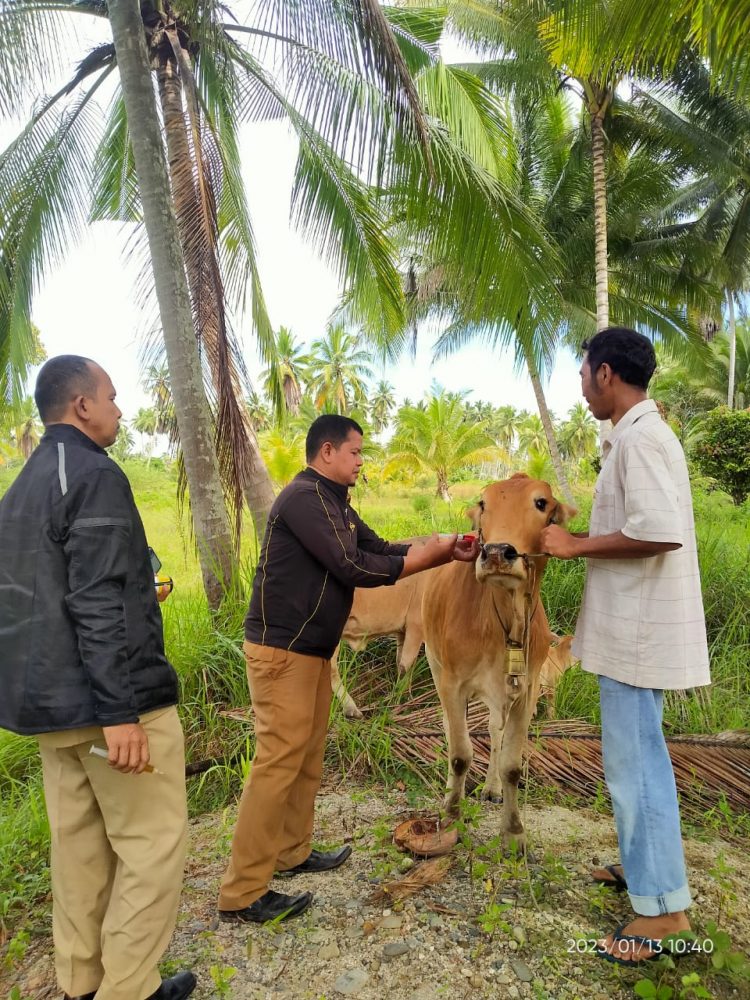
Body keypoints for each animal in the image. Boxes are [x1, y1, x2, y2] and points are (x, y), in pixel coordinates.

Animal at [424, 472, 576, 848]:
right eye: (483, 503)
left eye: (541, 502)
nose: (495, 553)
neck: (506, 620)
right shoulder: (453, 683)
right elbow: (460, 754)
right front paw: (451, 815)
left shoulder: (528, 691)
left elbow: (512, 764)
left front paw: (513, 831)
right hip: (435, 666)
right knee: (451, 731)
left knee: (494, 730)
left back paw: (491, 788)